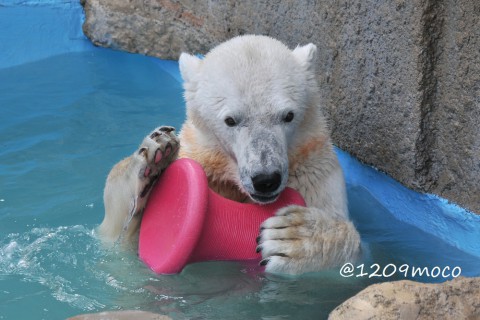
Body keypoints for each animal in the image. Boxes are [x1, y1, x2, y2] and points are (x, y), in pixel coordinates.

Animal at [98, 35, 360, 276]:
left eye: (288, 115)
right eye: (231, 120)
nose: (266, 179)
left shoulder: (314, 172)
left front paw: (291, 237)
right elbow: (114, 237)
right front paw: (154, 160)